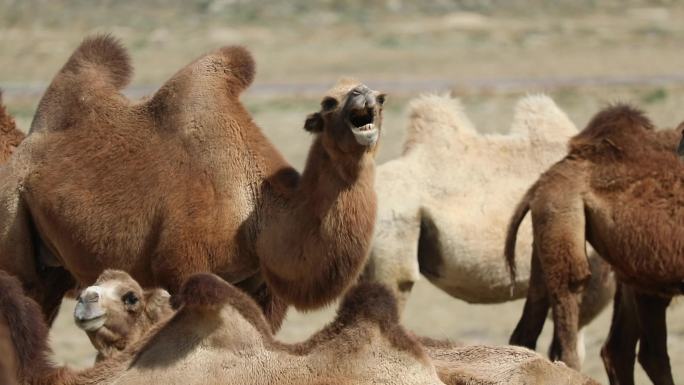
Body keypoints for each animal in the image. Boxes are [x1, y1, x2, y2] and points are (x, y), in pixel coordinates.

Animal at [0, 34, 384, 328]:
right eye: (329, 101)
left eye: (380, 98)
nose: (363, 93)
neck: (256, 209)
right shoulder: (182, 268)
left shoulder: (261, 287)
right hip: (12, 224)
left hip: (54, 270)